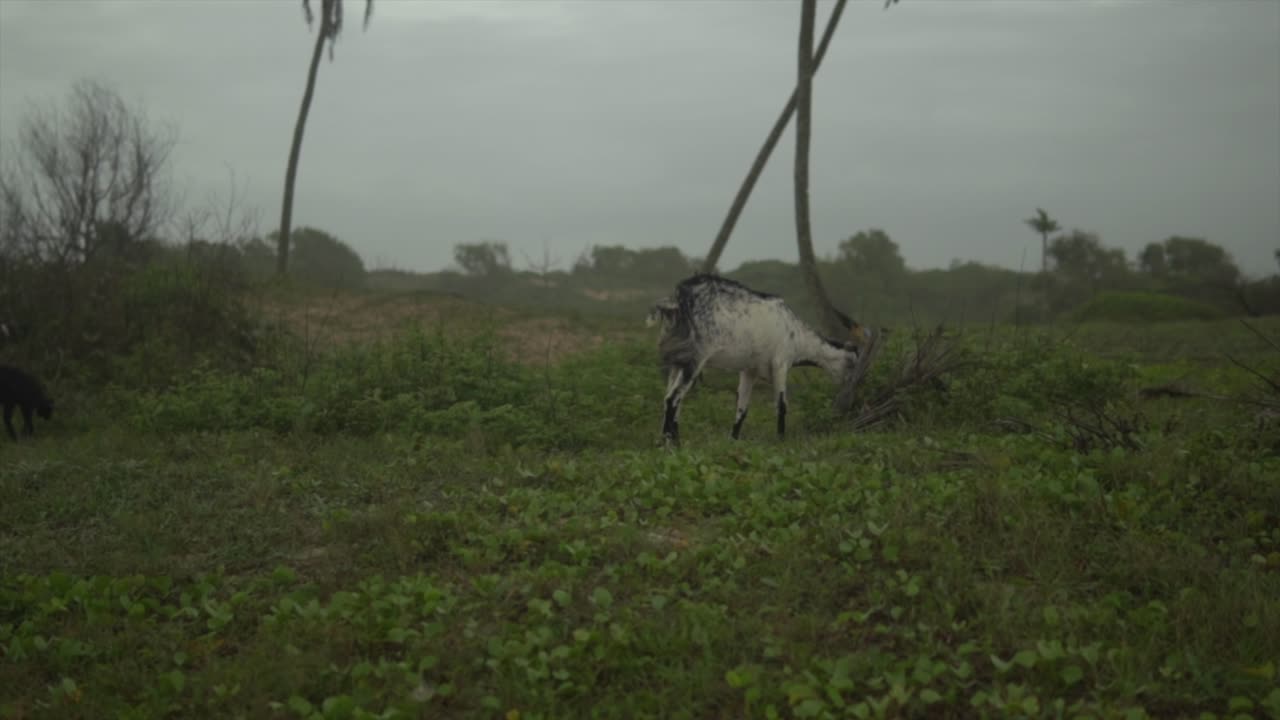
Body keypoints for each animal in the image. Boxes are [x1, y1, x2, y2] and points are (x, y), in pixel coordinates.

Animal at [650, 274, 868, 445]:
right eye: (853, 363)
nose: (851, 392)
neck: (796, 333)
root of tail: (677, 299)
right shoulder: (780, 363)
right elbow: (781, 405)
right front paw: (781, 440)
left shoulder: (749, 370)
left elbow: (742, 408)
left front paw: (733, 440)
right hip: (696, 358)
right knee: (673, 398)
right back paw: (673, 445)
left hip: (678, 360)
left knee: (670, 398)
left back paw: (666, 441)